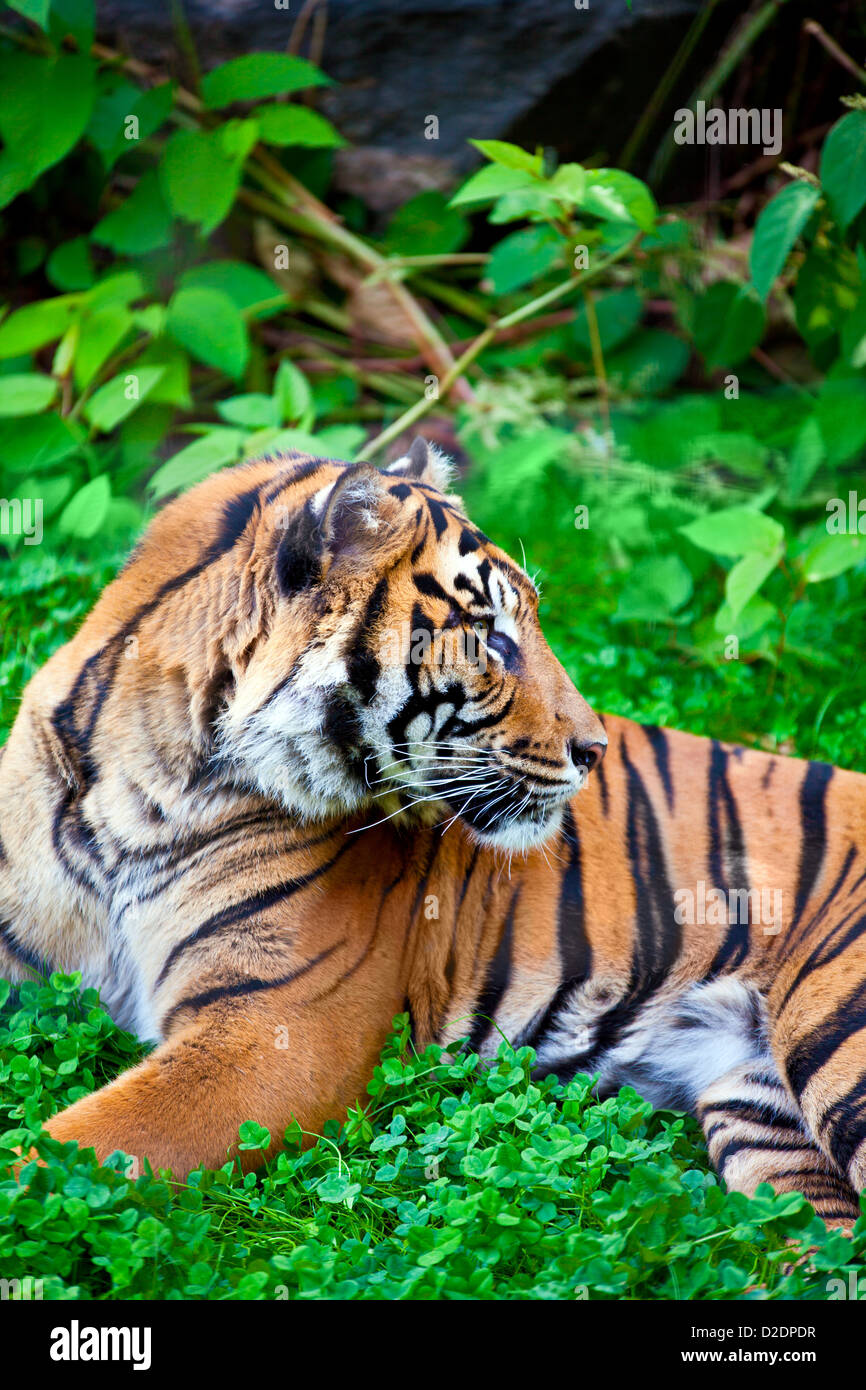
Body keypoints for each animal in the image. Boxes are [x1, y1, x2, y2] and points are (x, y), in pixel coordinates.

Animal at [1, 438, 866, 1228]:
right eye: (492, 637)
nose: (594, 750)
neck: (146, 786)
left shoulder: (274, 1035)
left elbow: (59, 1147)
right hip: (754, 1110)